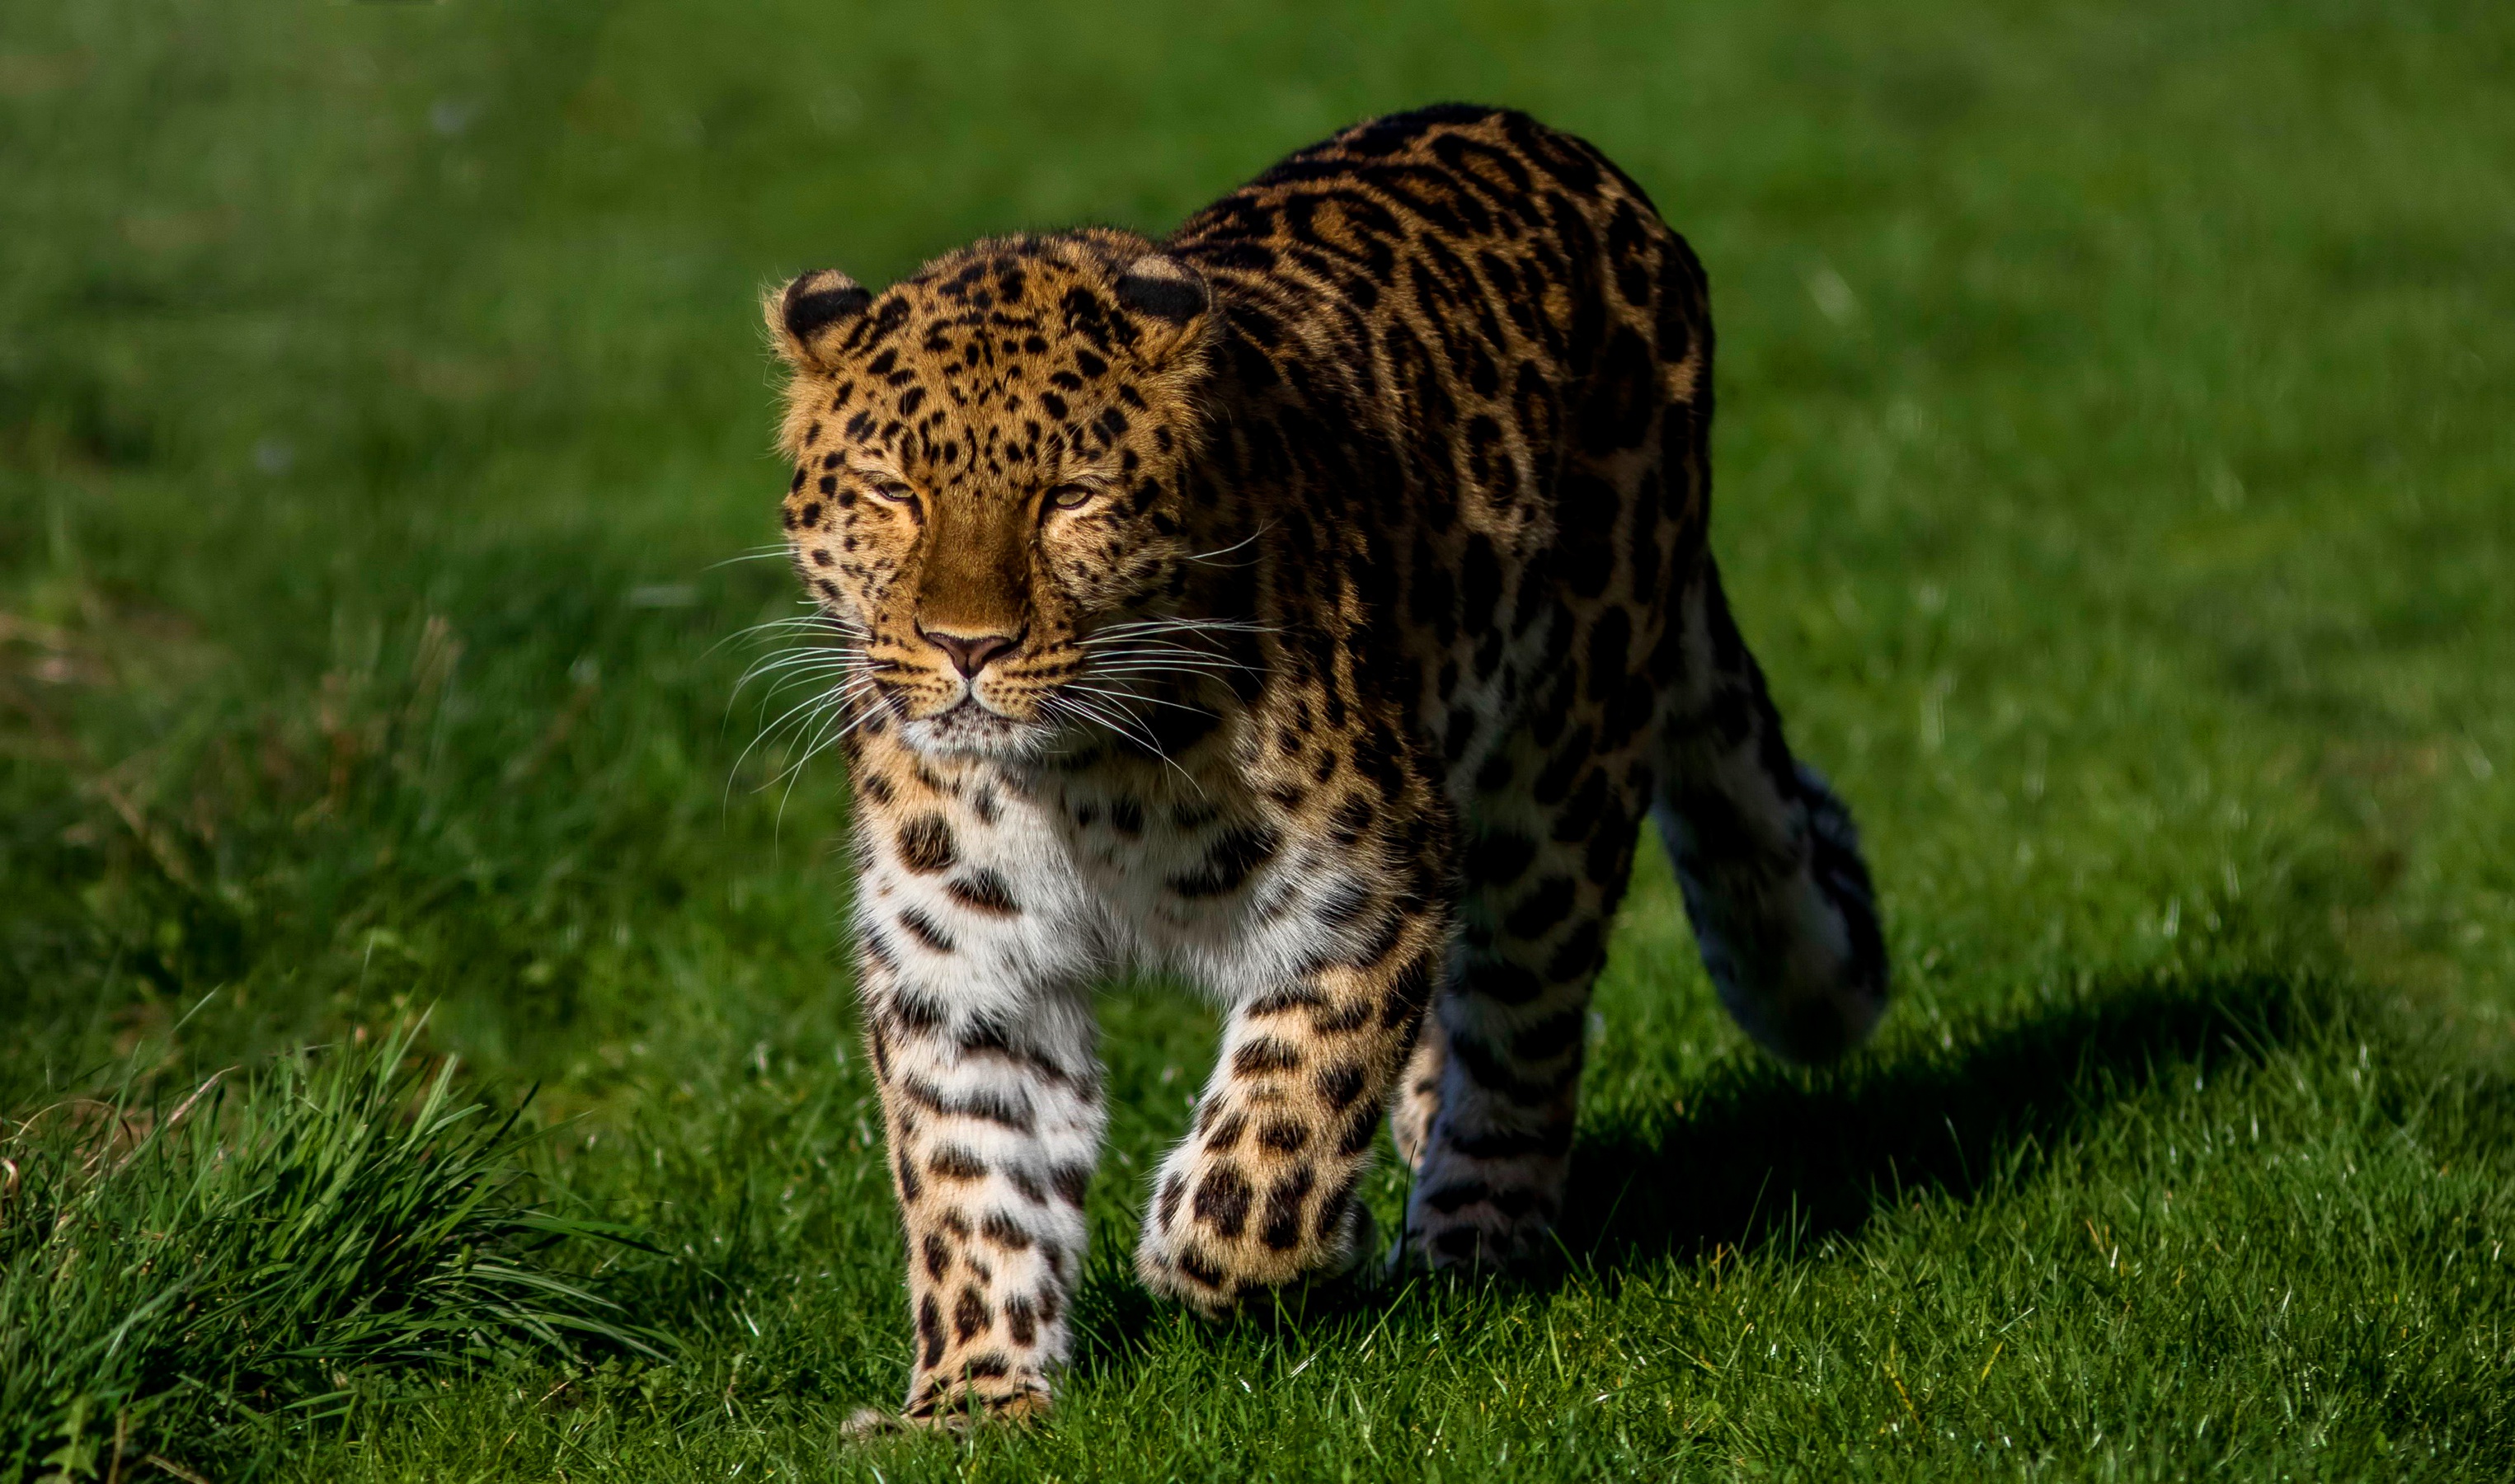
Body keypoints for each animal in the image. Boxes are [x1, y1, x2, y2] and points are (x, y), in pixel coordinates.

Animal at [764, 104, 1891, 1428]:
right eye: (891, 489)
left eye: (1069, 498)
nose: (966, 646)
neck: (1074, 783)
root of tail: (1566, 152)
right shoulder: (963, 962)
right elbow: (972, 1180)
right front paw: (974, 1400)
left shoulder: (1374, 879)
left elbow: (1285, 1117)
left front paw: (1222, 1238)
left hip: (1562, 767)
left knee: (1522, 1027)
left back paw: (1465, 1245)